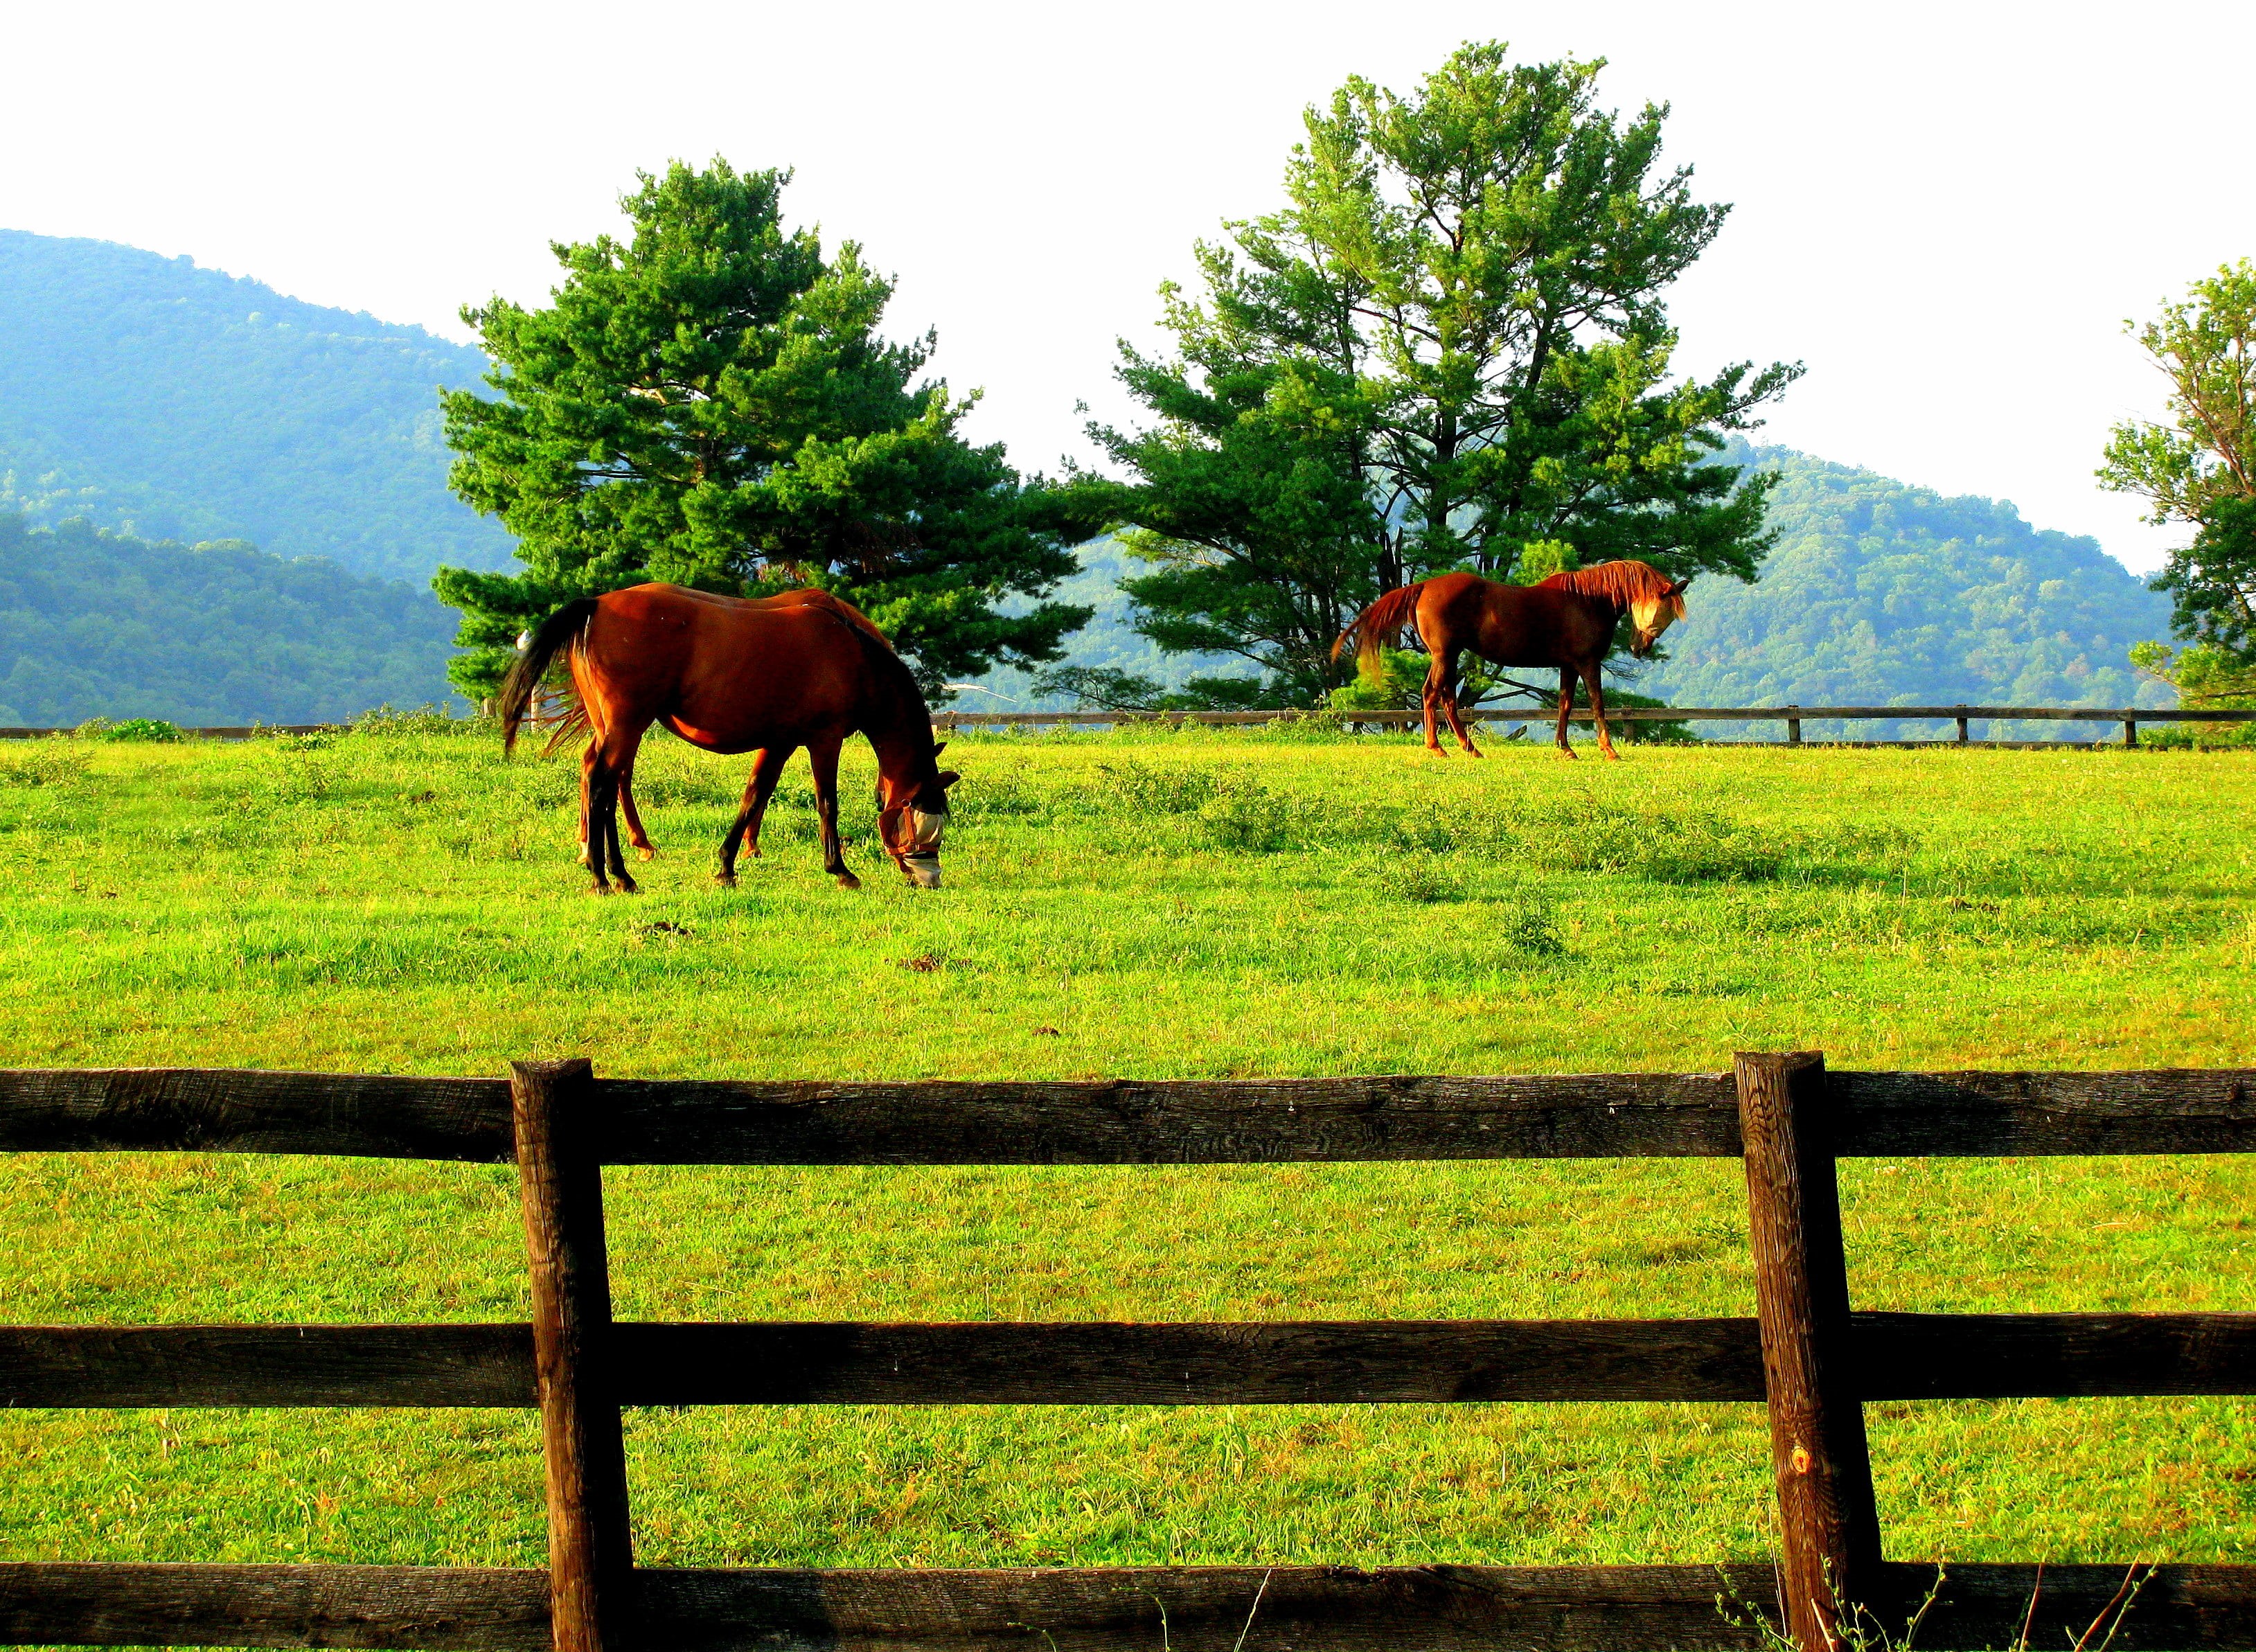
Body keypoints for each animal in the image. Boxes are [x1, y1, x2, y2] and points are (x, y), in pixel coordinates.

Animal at [498, 584, 958, 894]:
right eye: (920, 824)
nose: (930, 879)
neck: (853, 656)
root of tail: (596, 605)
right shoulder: (824, 740)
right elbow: (827, 802)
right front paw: (840, 871)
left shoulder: (780, 742)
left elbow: (754, 795)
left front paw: (727, 866)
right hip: (628, 724)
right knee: (601, 782)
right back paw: (603, 875)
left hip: (612, 726)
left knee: (605, 783)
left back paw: (620, 872)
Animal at [1333, 561, 1691, 760]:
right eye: (1663, 611)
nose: (1640, 648)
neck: (1589, 600)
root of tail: (1424, 587)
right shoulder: (1587, 663)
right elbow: (1597, 705)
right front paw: (1609, 750)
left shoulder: (1568, 666)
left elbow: (1565, 705)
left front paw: (1565, 749)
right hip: (1445, 655)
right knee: (1432, 694)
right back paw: (1437, 747)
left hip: (1450, 656)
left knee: (1447, 699)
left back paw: (1470, 748)